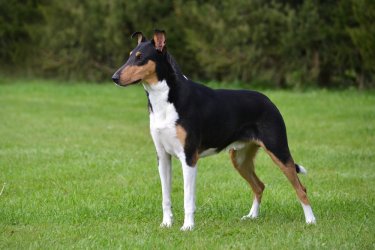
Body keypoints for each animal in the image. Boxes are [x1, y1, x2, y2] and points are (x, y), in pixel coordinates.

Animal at [112, 29, 318, 230]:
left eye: (140, 57)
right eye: (129, 56)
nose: (114, 78)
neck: (165, 100)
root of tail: (268, 100)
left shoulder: (189, 157)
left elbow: (188, 198)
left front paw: (188, 227)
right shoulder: (163, 156)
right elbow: (166, 197)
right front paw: (166, 224)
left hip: (278, 150)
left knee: (301, 188)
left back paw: (310, 220)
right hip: (240, 158)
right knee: (259, 186)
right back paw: (252, 216)